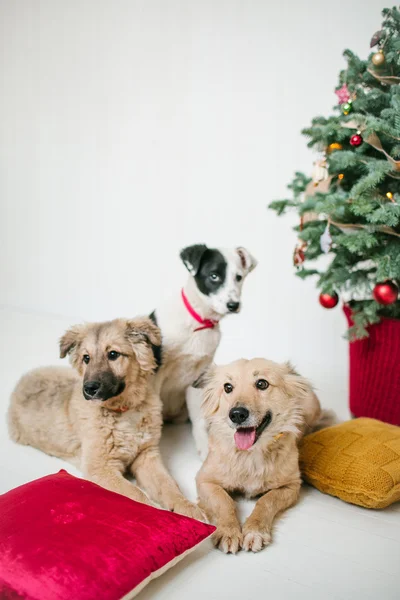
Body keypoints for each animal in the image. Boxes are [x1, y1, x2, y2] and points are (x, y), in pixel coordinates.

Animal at [7, 318, 205, 520]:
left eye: (113, 354)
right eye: (86, 358)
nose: (89, 389)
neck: (123, 411)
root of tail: (22, 380)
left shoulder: (147, 456)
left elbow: (169, 484)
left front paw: (187, 507)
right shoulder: (101, 468)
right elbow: (137, 495)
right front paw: (159, 516)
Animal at [149, 244, 256, 454]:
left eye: (238, 277)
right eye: (214, 276)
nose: (233, 305)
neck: (198, 322)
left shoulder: (198, 376)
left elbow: (199, 420)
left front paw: (205, 449)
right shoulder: (156, 374)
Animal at [195, 356, 320, 552]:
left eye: (262, 383)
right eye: (228, 387)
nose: (237, 414)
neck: (249, 454)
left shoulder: (291, 486)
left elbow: (266, 501)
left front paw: (255, 531)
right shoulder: (205, 480)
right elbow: (224, 502)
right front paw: (228, 531)